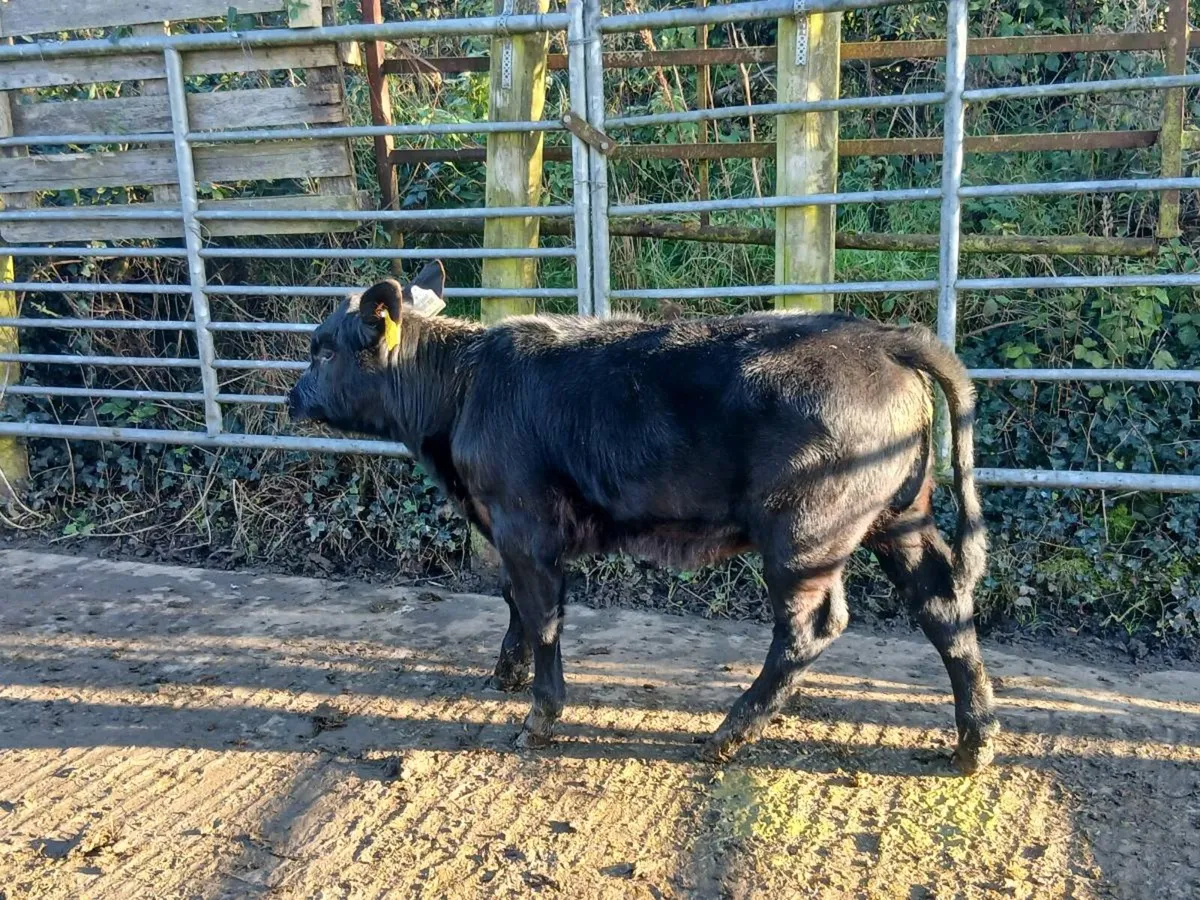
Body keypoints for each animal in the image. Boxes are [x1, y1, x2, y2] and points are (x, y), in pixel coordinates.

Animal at [287, 260, 1000, 773]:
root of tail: (882, 337)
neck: (464, 389)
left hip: (804, 536)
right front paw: (506, 674)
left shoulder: (524, 525)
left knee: (811, 627)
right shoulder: (504, 530)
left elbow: (542, 616)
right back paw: (975, 742)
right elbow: (513, 600)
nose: (292, 396)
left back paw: (727, 734)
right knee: (943, 604)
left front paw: (540, 716)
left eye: (323, 350)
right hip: (899, 517)